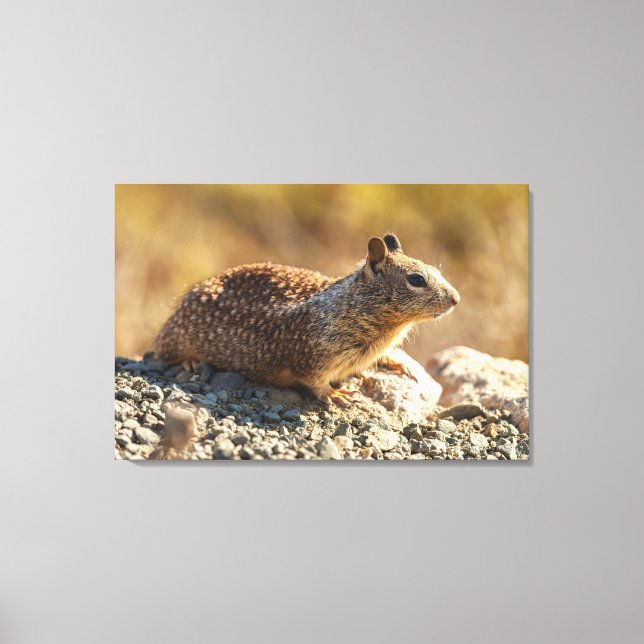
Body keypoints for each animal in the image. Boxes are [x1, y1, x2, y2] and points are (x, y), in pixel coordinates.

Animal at [154, 234, 460, 406]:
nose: (456, 298)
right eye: (416, 279)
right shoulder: (313, 355)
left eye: (436, 270)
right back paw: (189, 361)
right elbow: (315, 382)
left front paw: (394, 362)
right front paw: (334, 395)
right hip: (176, 336)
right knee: (162, 352)